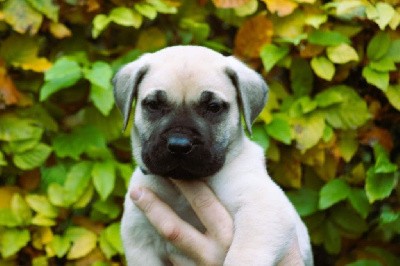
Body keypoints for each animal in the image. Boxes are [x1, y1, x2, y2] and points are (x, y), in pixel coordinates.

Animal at [112, 46, 312, 266]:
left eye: (213, 107)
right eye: (154, 105)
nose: (179, 145)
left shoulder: (262, 207)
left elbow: (244, 253)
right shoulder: (140, 241)